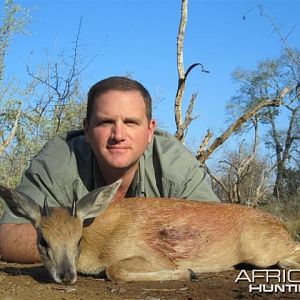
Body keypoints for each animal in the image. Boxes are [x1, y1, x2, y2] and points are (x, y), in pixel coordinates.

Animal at [0, 179, 300, 284]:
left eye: (78, 240)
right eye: (42, 241)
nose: (66, 276)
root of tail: (280, 224)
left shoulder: (154, 257)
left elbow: (114, 270)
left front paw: (188, 272)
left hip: (261, 252)